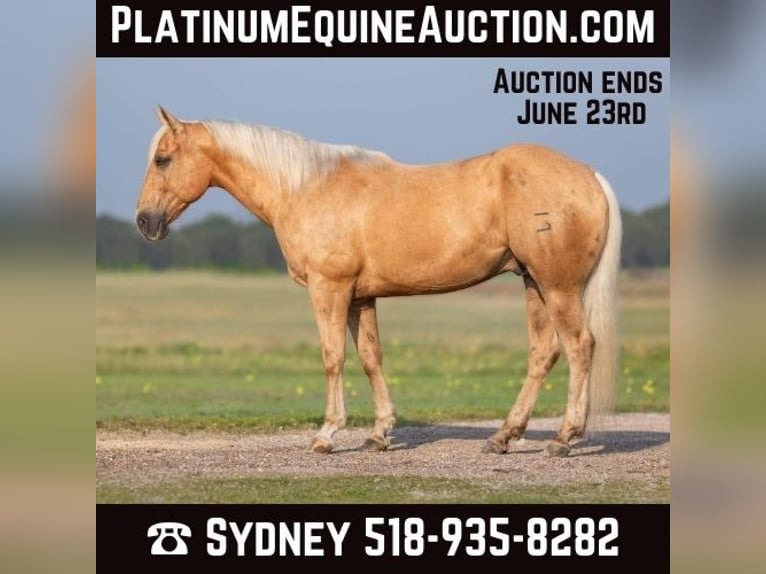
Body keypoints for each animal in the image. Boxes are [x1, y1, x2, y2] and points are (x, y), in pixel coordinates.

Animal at [136, 106, 622, 457]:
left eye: (163, 159)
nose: (144, 222)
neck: (305, 188)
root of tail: (589, 175)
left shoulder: (329, 289)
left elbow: (333, 358)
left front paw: (327, 435)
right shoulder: (360, 297)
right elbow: (371, 358)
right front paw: (379, 434)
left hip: (557, 287)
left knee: (580, 346)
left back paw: (563, 438)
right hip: (534, 284)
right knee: (544, 353)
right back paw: (503, 436)